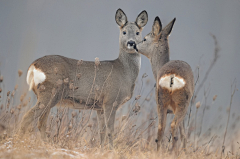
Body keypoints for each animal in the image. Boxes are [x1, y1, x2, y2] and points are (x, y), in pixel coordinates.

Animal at [18, 8, 148, 148]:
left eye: (138, 32)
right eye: (124, 32)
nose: (131, 43)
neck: (125, 72)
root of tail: (33, 66)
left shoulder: (99, 106)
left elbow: (101, 131)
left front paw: (101, 149)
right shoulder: (110, 100)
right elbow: (110, 130)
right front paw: (111, 149)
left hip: (47, 96)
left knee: (41, 122)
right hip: (49, 92)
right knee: (27, 118)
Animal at [135, 16, 195, 151]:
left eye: (144, 39)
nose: (134, 45)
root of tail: (172, 77)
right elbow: (183, 133)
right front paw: (185, 151)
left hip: (160, 100)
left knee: (161, 127)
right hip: (182, 103)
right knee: (174, 126)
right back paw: (174, 151)